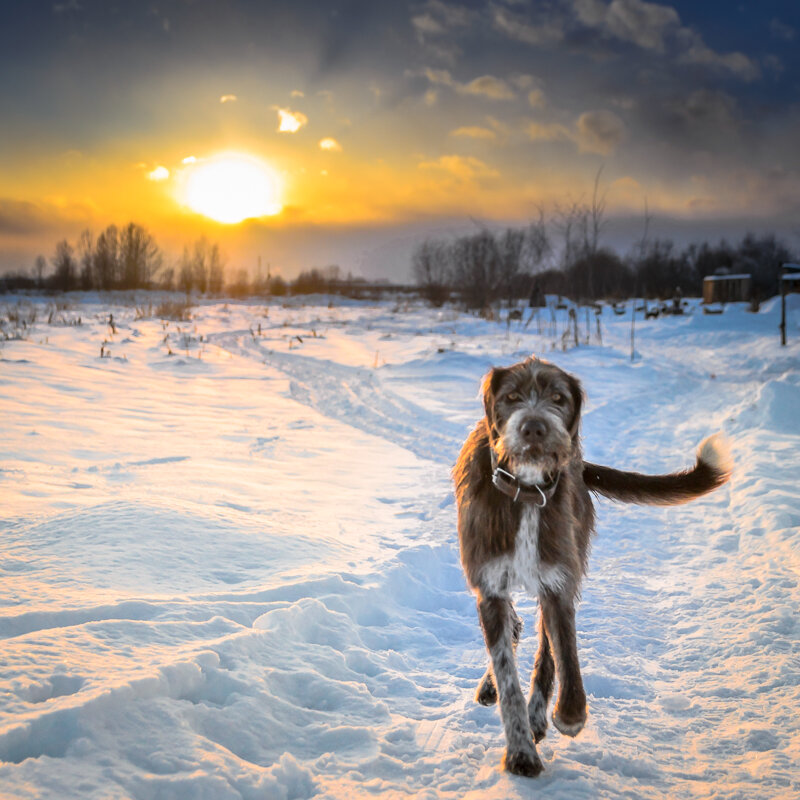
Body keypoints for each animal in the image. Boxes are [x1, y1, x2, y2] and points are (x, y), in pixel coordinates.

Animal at [450, 354, 732, 776]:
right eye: (512, 397)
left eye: (558, 398)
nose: (534, 427)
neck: (527, 493)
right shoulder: (490, 585)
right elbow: (507, 675)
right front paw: (520, 753)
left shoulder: (558, 582)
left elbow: (562, 651)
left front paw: (568, 714)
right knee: (514, 631)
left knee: (544, 650)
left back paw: (538, 716)